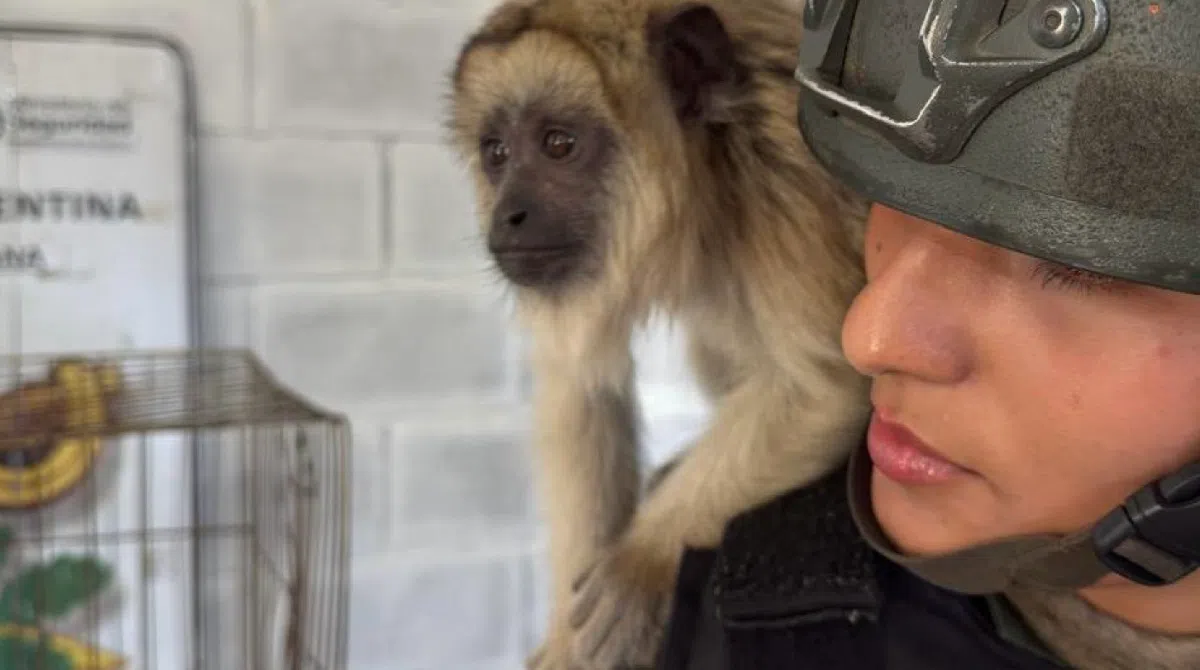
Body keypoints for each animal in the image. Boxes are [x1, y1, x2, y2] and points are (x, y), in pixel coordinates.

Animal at [445, 0, 872, 667]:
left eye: (558, 144)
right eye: (496, 153)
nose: (507, 215)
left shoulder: (791, 181)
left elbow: (826, 387)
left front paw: (639, 565)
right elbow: (577, 382)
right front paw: (565, 641)